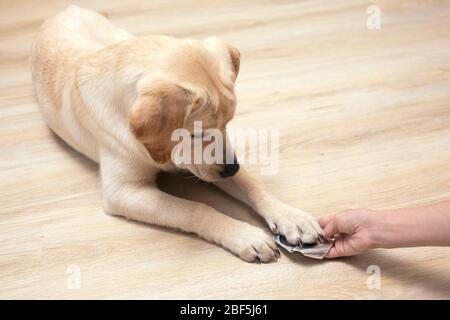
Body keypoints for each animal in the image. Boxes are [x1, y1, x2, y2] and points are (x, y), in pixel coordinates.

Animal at [30, 8, 324, 262]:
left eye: (228, 123)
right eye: (198, 134)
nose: (231, 168)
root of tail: (65, 10)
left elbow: (252, 185)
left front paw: (291, 217)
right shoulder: (123, 192)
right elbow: (194, 209)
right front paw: (244, 235)